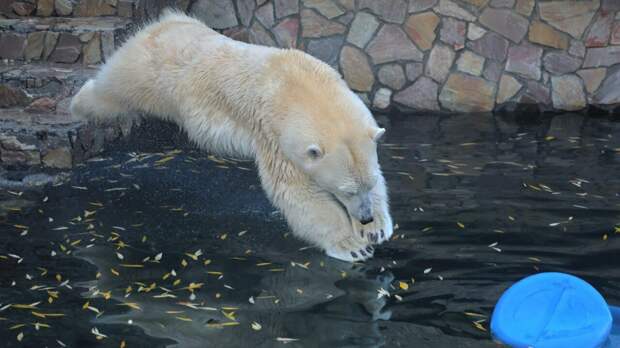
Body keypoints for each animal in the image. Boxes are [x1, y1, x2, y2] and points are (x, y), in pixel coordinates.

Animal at [70, 8, 392, 260]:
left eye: (368, 184)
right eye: (346, 190)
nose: (365, 217)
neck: (300, 86)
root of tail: (166, 23)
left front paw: (375, 231)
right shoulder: (275, 135)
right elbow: (298, 193)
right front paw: (352, 245)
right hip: (149, 73)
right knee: (111, 91)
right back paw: (78, 101)